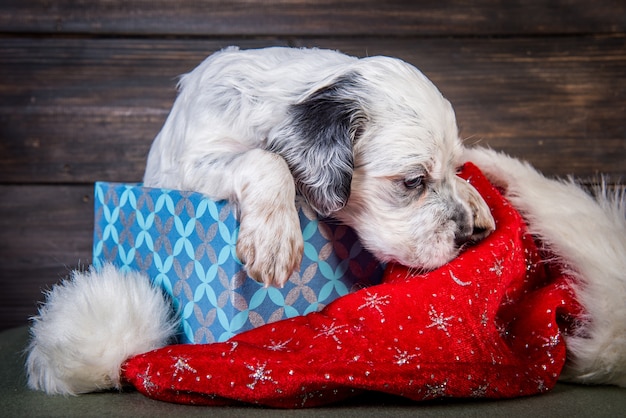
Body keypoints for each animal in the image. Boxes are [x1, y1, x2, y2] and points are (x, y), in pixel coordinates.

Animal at [144, 45, 494, 288]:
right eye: (412, 181)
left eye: (456, 166)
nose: (464, 234)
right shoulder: (191, 163)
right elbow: (267, 158)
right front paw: (275, 241)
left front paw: (474, 198)